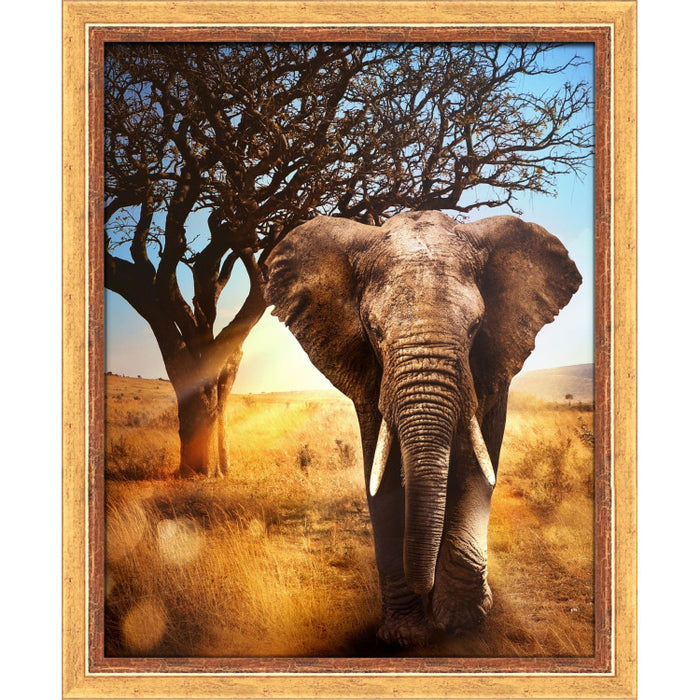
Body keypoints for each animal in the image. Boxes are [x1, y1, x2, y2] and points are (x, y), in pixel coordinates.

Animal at [264, 210, 582, 647]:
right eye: (374, 329)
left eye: (476, 327)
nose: (424, 587)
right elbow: (381, 478)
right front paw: (404, 636)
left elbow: (475, 467)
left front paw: (462, 622)